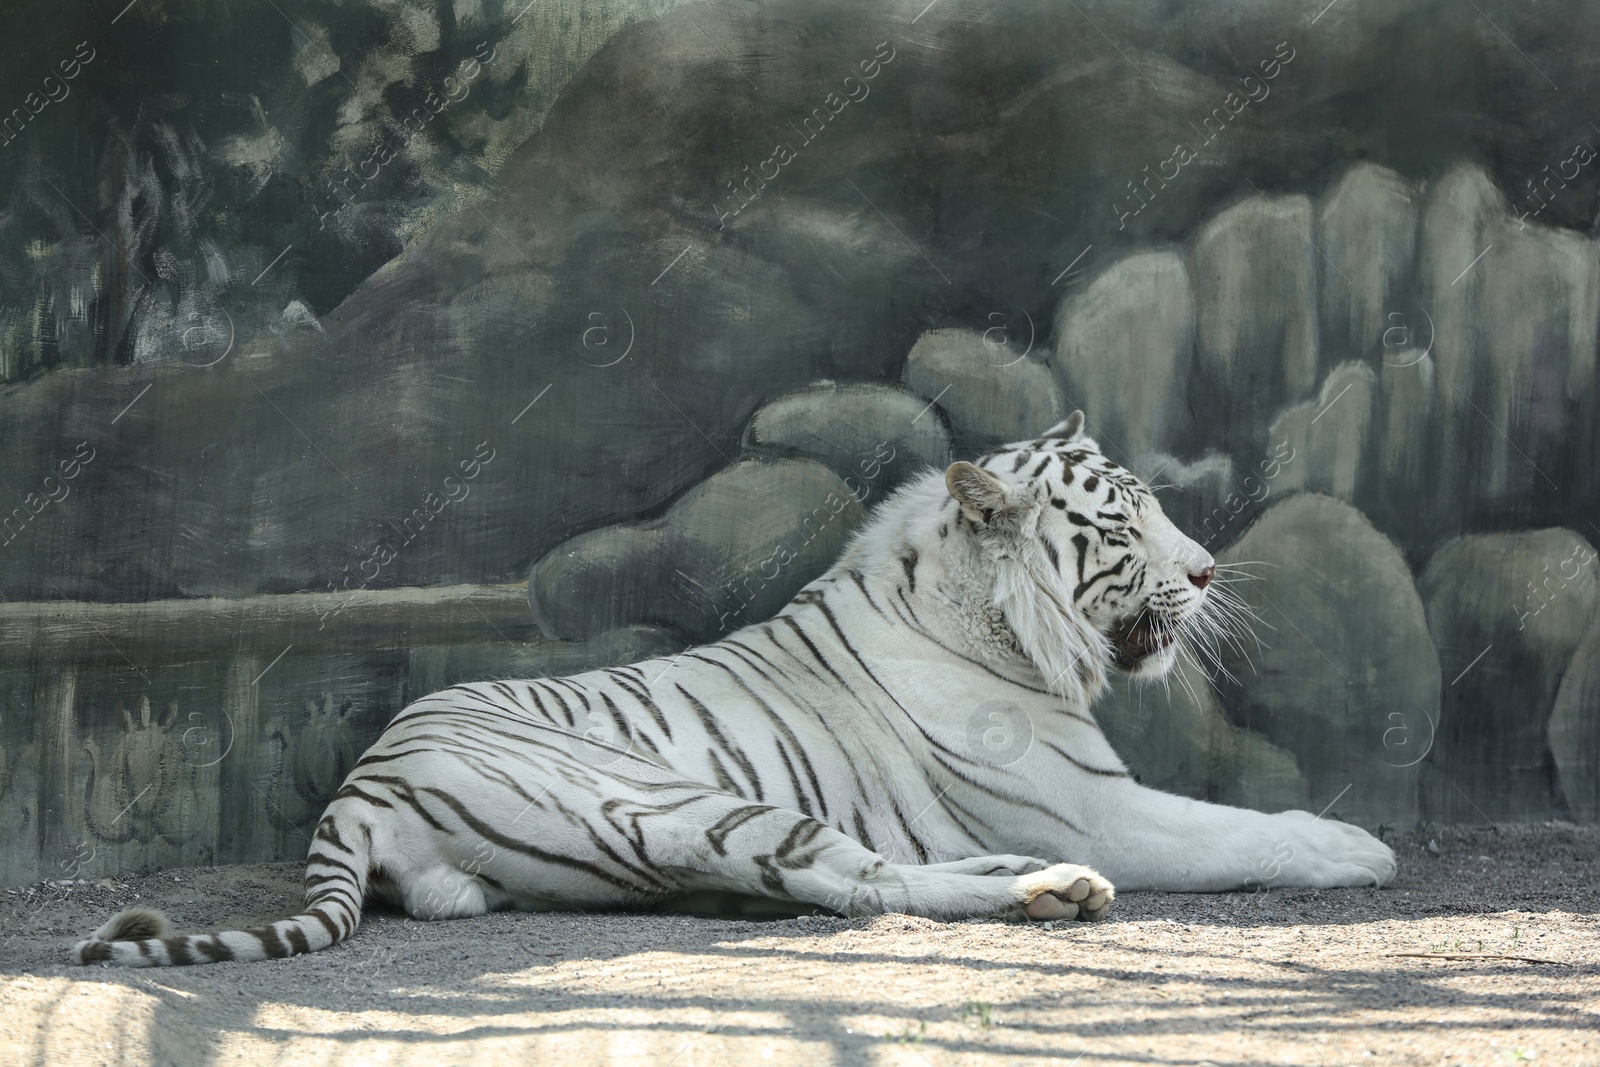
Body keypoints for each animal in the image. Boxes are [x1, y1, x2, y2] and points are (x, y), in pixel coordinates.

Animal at [73, 411, 1396, 967]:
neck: (984, 617)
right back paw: (1047, 889)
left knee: (856, 874)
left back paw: (1027, 879)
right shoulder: (1099, 806)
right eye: (1121, 523)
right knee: (855, 884)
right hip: (681, 800)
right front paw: (1356, 846)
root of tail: (356, 786)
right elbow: (1239, 827)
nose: (1207, 569)